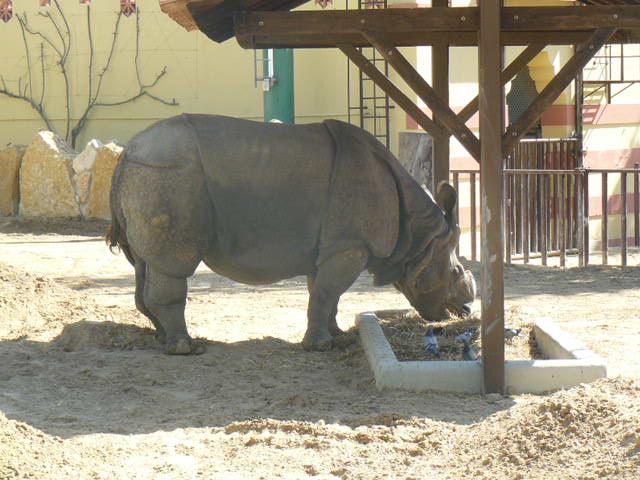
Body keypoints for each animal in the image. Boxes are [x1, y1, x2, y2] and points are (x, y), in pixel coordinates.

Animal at [107, 114, 476, 355]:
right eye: (456, 271)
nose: (467, 309)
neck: (418, 233)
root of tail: (126, 153)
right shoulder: (350, 245)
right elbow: (328, 292)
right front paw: (320, 346)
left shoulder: (331, 248)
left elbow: (326, 294)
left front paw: (338, 336)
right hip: (168, 174)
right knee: (174, 263)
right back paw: (186, 347)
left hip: (152, 172)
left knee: (144, 263)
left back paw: (162, 339)